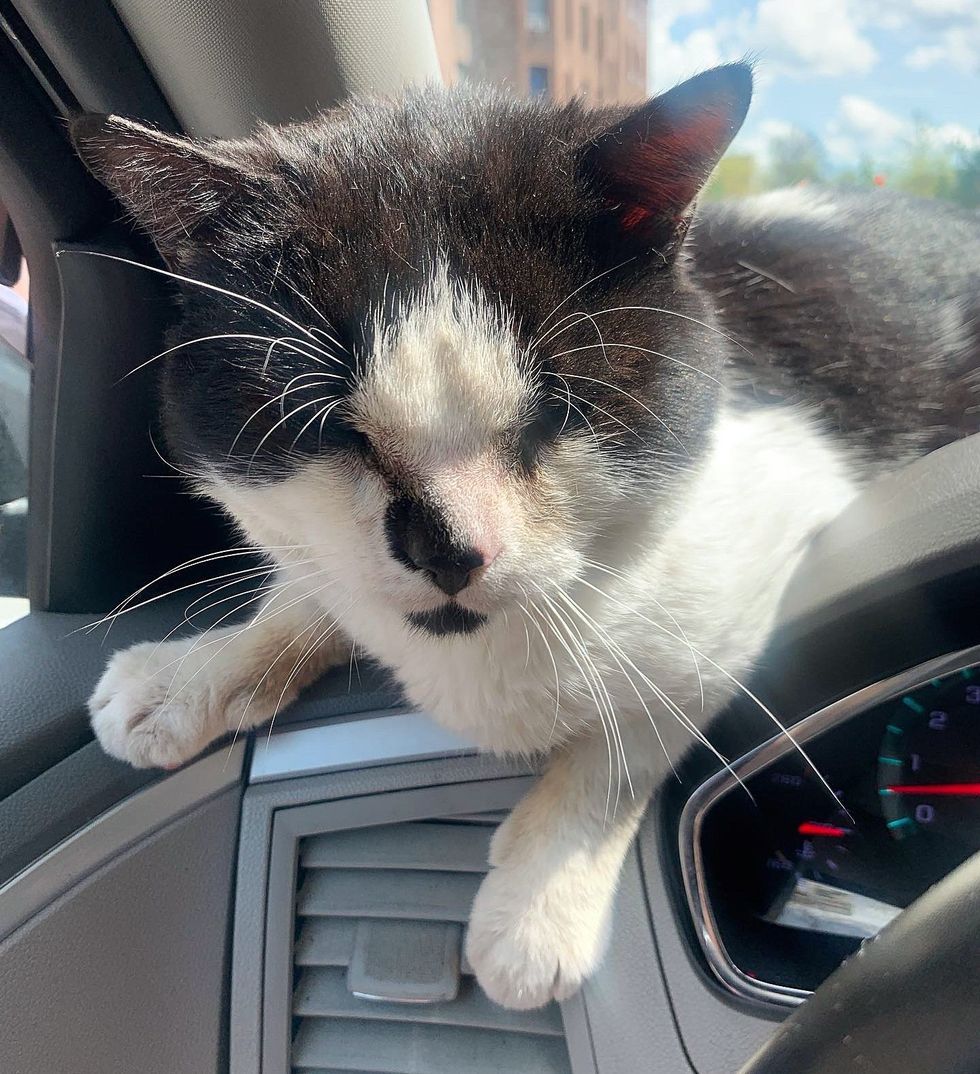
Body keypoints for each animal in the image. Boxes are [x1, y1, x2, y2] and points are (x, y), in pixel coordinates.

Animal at [74, 62, 979, 1009]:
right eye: (333, 430)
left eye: (554, 414)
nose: (448, 551)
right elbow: (315, 588)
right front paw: (187, 677)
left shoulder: (769, 516)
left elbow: (638, 725)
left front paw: (539, 903)